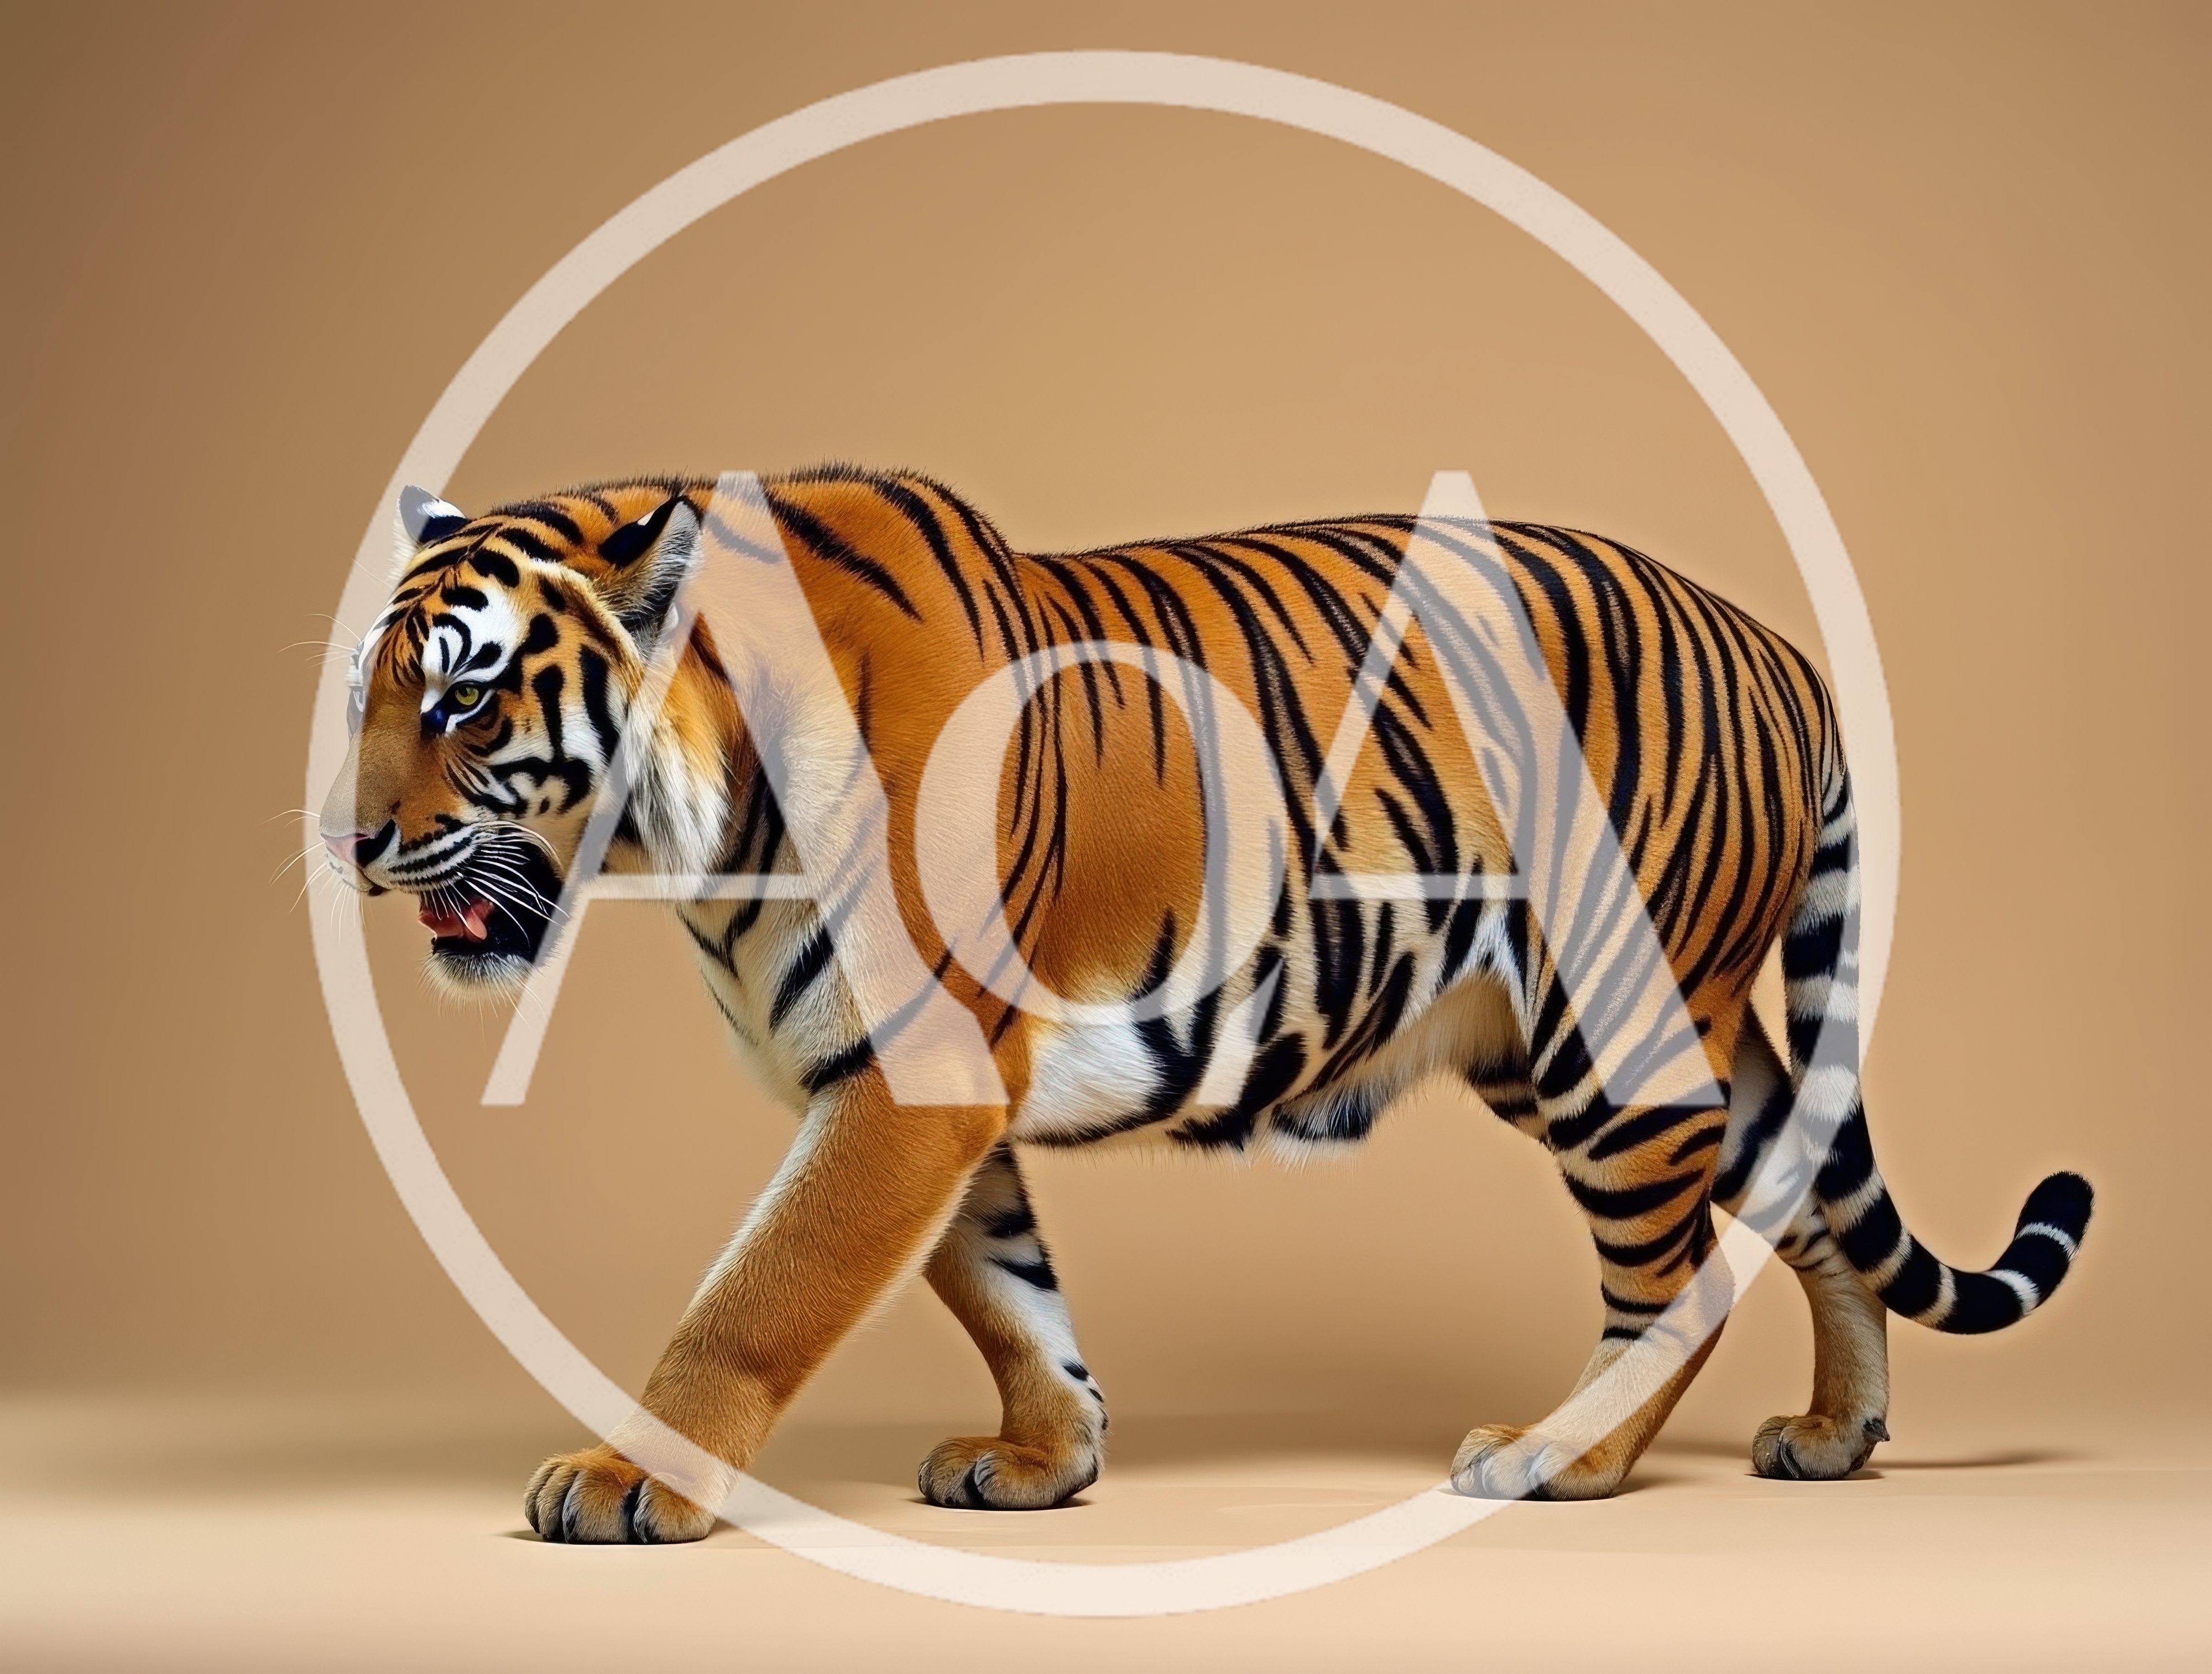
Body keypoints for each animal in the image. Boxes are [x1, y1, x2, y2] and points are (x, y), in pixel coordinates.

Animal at [317, 463, 2093, 1543]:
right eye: (367, 699)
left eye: (464, 697)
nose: (352, 844)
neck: (704, 827)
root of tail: (1780, 650)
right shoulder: (930, 1092)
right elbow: (1003, 1287)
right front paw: (1042, 1459)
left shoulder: (910, 1076)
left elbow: (757, 1294)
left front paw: (623, 1480)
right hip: (1618, 1037)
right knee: (1806, 1204)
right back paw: (1832, 1433)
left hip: (1613, 1035)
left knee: (1672, 1286)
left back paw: (1559, 1456)